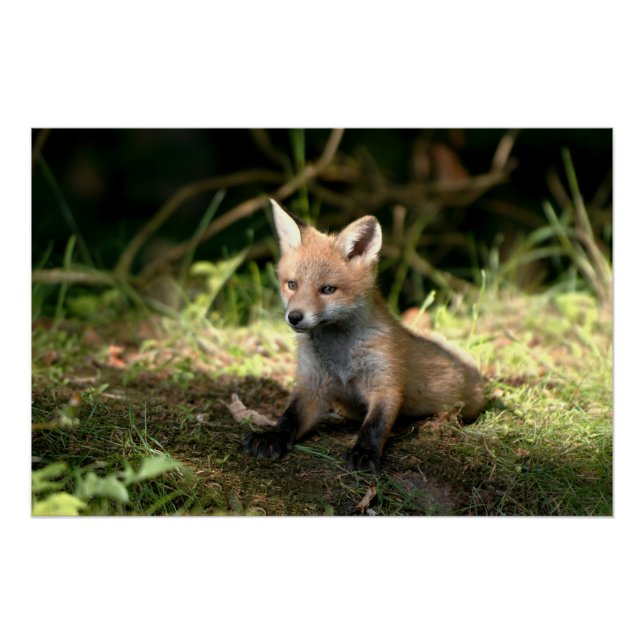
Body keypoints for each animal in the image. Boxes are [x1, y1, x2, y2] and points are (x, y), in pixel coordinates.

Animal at [242, 199, 485, 473]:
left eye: (328, 289)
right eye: (292, 285)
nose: (294, 317)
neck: (340, 354)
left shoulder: (385, 382)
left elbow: (374, 424)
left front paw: (365, 452)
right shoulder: (312, 384)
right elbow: (289, 417)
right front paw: (271, 436)